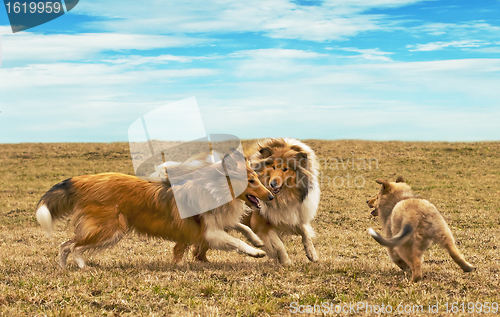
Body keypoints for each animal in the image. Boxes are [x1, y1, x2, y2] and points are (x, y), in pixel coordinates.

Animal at [35, 151, 274, 266]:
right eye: (251, 181)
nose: (271, 196)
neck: (215, 186)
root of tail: (83, 181)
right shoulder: (209, 232)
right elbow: (235, 241)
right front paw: (256, 252)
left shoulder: (216, 220)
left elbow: (242, 228)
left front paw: (257, 241)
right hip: (109, 229)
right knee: (72, 246)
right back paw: (83, 268)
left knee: (65, 246)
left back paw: (65, 268)